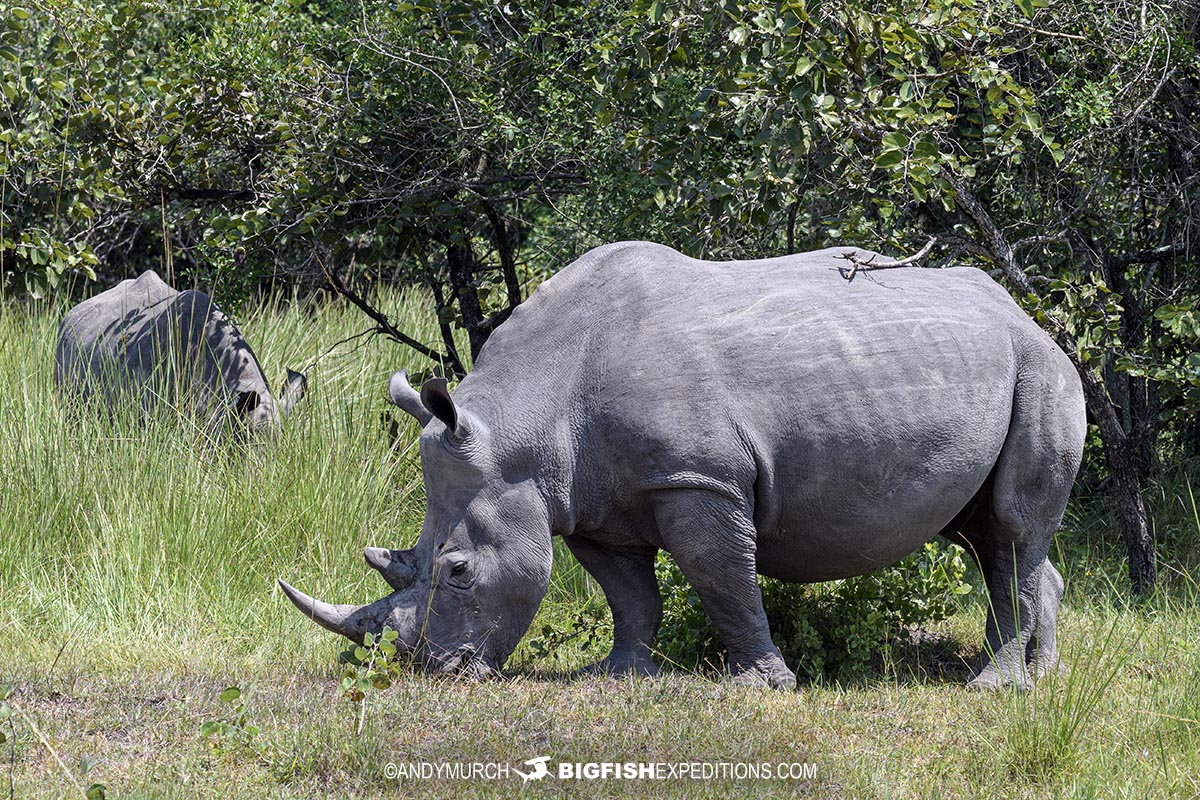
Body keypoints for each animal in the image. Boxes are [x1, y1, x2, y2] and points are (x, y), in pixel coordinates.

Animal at [281, 242, 1085, 690]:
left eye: (457, 572)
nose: (429, 672)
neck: (523, 421)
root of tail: (1027, 312)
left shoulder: (697, 478)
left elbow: (720, 579)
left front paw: (759, 687)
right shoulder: (587, 501)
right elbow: (629, 592)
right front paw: (618, 676)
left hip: (1041, 368)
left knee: (1011, 527)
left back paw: (995, 689)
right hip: (995, 365)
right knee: (985, 533)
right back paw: (1040, 676)